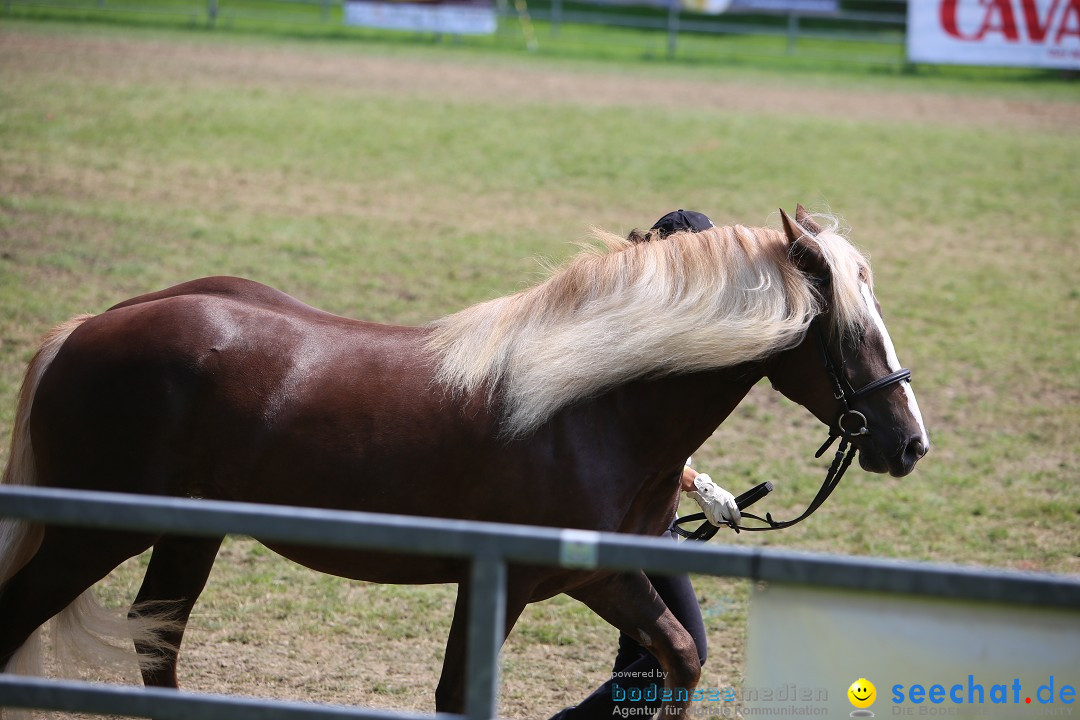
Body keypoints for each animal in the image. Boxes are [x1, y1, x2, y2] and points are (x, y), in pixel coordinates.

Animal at [0, 207, 928, 716]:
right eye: (848, 330)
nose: (910, 442)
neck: (589, 407)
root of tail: (83, 329)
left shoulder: (603, 576)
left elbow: (678, 657)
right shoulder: (512, 581)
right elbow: (459, 694)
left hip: (186, 536)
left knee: (157, 641)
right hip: (94, 535)